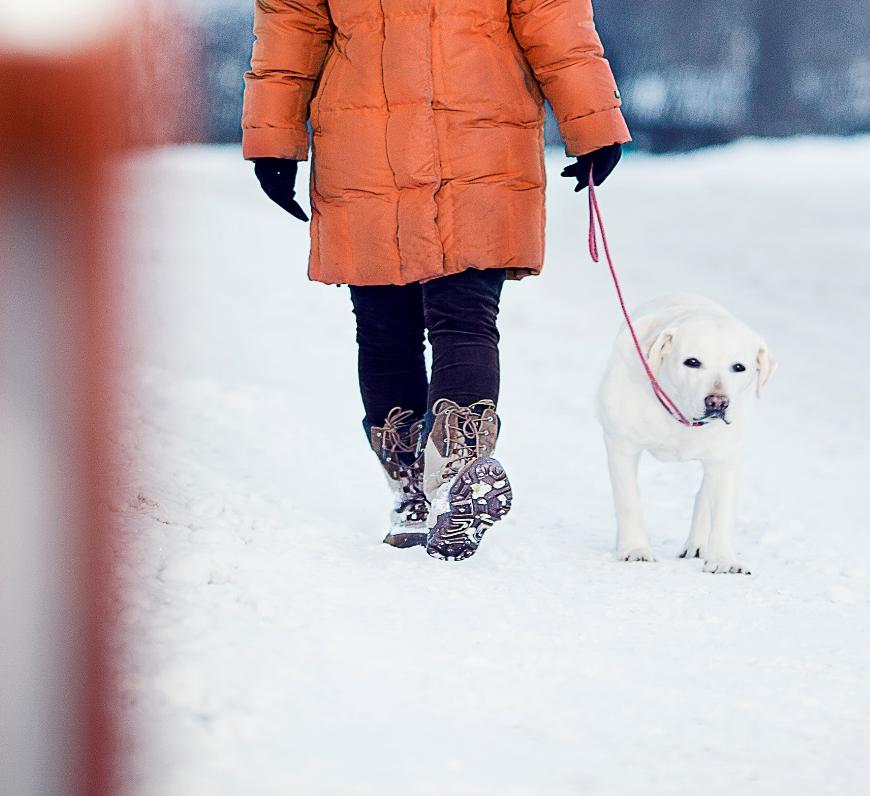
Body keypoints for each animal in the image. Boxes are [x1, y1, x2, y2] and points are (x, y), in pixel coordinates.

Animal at [600, 292, 776, 572]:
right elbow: (629, 501)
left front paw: (723, 560)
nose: (718, 402)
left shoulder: (725, 460)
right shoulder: (621, 444)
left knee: (704, 495)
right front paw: (635, 549)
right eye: (692, 362)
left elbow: (723, 512)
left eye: (739, 367)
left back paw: (698, 545)